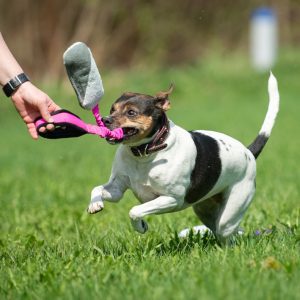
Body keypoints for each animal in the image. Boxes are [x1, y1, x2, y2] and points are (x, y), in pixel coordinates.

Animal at [86, 73, 278, 244]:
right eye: (112, 109)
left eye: (131, 112)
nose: (104, 120)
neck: (145, 154)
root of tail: (249, 153)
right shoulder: (117, 188)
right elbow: (97, 189)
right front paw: (95, 204)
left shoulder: (172, 199)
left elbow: (134, 210)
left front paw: (140, 226)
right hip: (204, 209)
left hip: (230, 213)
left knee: (228, 234)